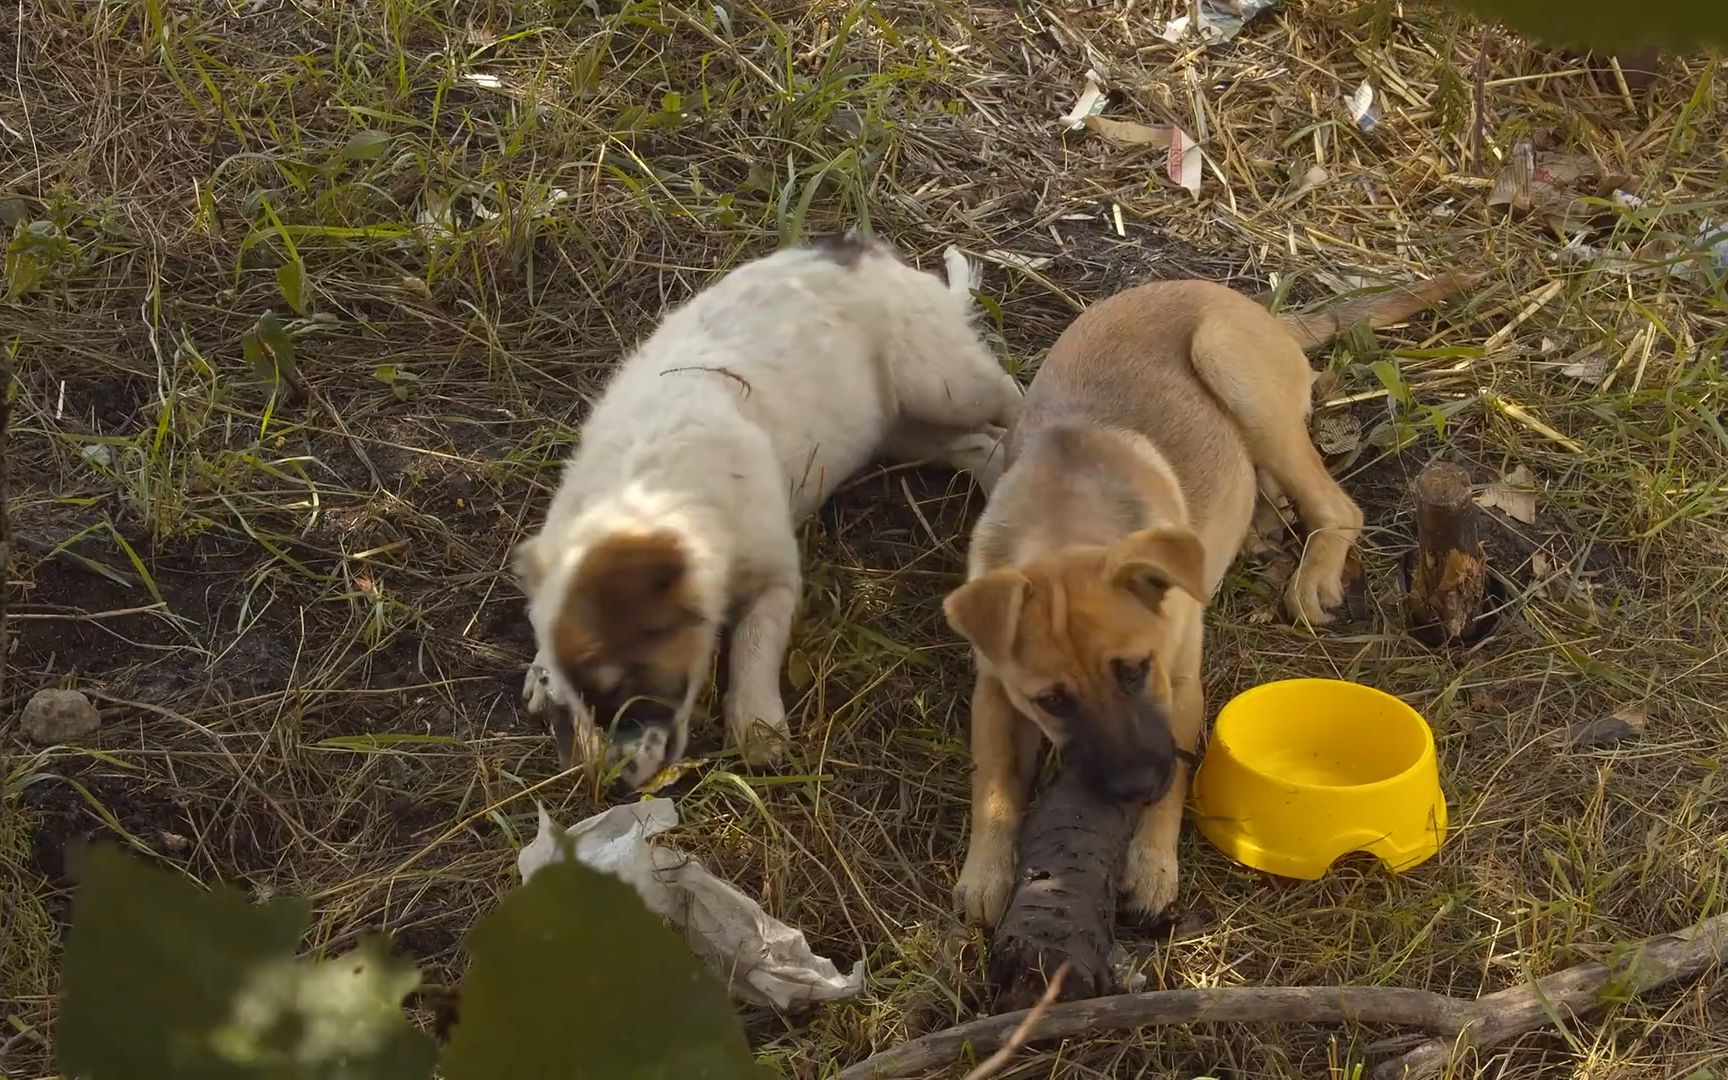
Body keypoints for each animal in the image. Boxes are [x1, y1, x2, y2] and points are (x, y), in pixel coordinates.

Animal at [518, 233, 1016, 791]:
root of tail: (864, 249)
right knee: (983, 447)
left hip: (940, 383)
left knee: (1010, 399)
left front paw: (757, 727)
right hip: (900, 430)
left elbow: (754, 644)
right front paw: (538, 672)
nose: (609, 785)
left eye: (619, 686)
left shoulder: (777, 579)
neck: (644, 482)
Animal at [946, 273, 1472, 919]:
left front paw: (1153, 865)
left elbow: (1173, 786)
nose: (1134, 787)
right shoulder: (995, 690)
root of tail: (1247, 305)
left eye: (1134, 670)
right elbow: (992, 781)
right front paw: (985, 872)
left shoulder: (1179, 684)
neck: (1064, 515)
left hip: (1225, 358)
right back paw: (1262, 520)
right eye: (1052, 702)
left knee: (1337, 504)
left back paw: (1312, 573)